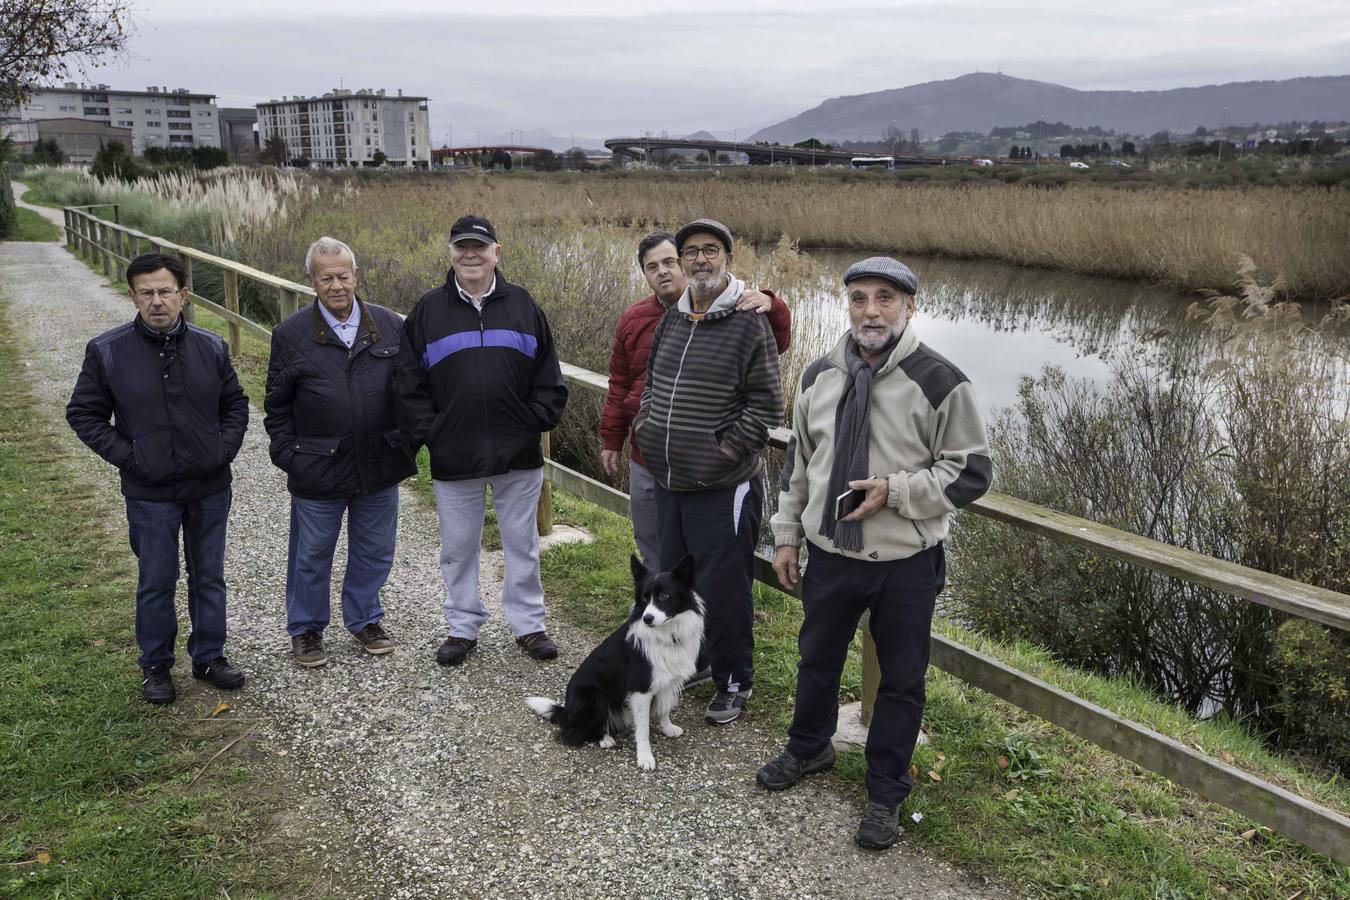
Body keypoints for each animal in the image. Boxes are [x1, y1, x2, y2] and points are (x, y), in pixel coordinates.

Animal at [523, 553, 702, 771]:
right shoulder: (641, 691)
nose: (647, 619)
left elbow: (664, 709)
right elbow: (643, 729)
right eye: (644, 598)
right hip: (595, 698)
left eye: (664, 596)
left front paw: (667, 728)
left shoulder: (666, 681)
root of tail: (567, 713)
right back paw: (604, 739)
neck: (666, 634)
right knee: (574, 733)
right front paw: (645, 757)